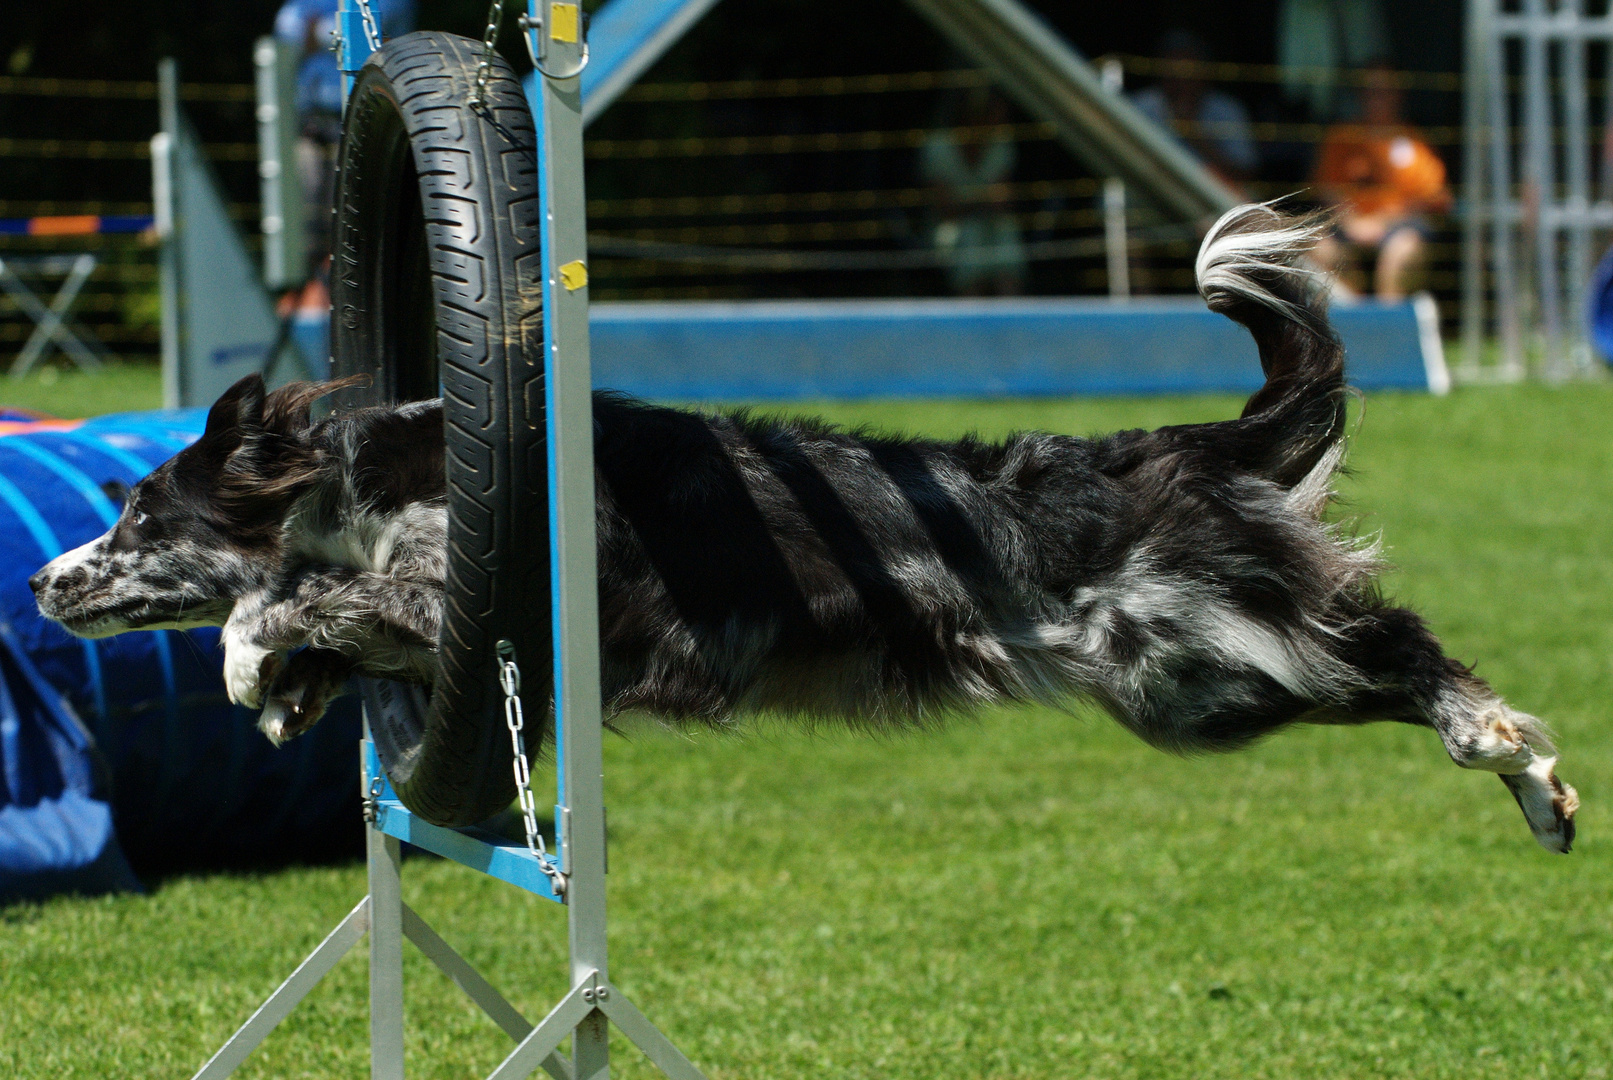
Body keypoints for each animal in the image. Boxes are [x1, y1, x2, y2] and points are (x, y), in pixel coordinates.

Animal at [25, 205, 1580, 857]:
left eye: (139, 511)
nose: (38, 582)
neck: (379, 474)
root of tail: (1173, 446)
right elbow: (327, 625)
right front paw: (288, 698)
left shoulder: (480, 600)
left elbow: (286, 601)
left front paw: (252, 664)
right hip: (1192, 696)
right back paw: (1536, 795)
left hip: (1193, 649)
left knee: (1400, 645)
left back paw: (1515, 757)